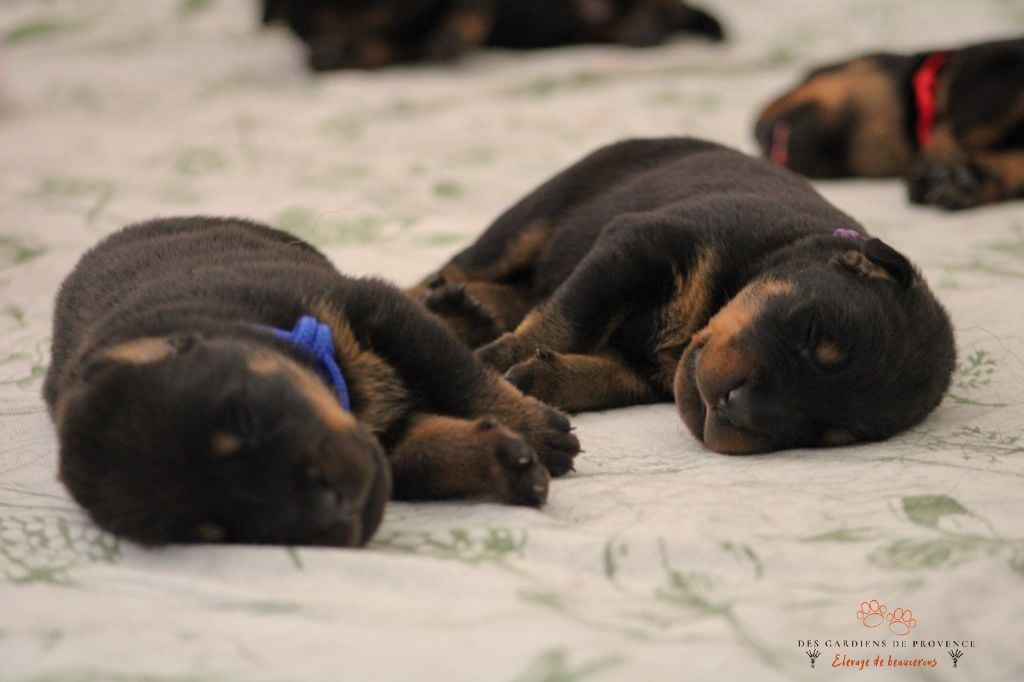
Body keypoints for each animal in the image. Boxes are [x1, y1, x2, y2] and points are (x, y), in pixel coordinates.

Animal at [44, 218, 581, 548]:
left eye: (246, 418)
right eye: (221, 531)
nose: (331, 512)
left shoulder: (374, 309)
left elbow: (463, 380)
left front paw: (539, 431)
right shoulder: (384, 442)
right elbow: (429, 452)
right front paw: (504, 460)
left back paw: (459, 308)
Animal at [409, 137, 958, 454]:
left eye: (826, 434)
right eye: (809, 330)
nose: (736, 408)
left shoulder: (646, 370)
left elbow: (603, 374)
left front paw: (541, 378)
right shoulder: (639, 244)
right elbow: (566, 319)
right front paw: (487, 364)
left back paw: (469, 308)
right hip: (536, 215)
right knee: (458, 267)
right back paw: (436, 305)